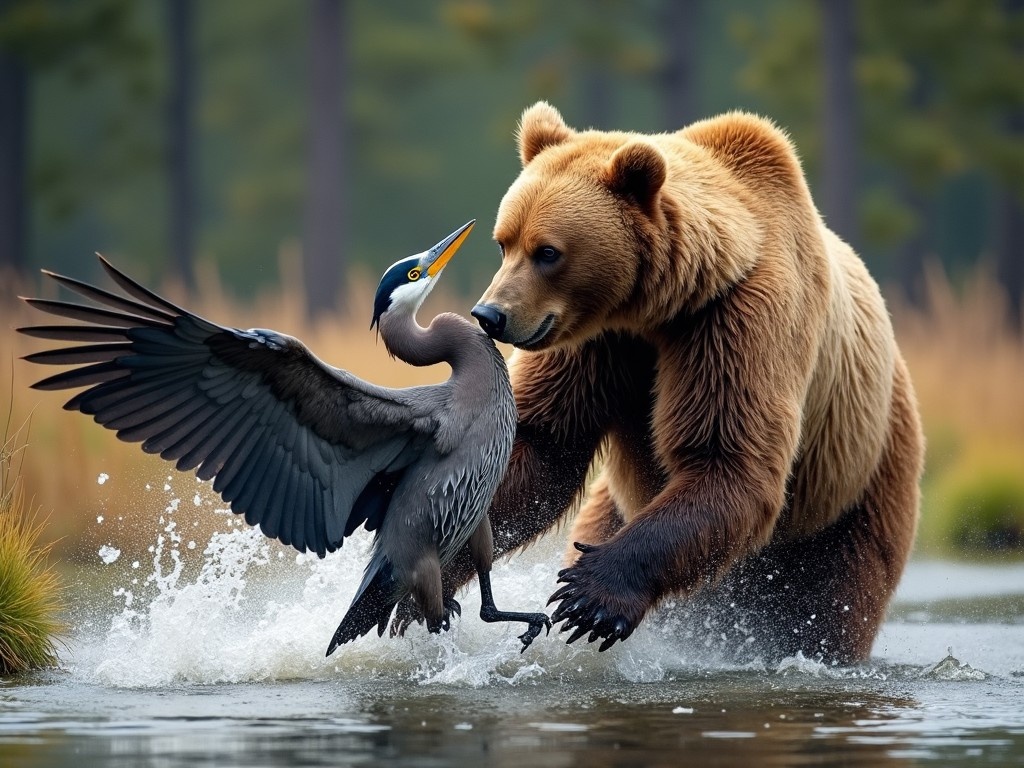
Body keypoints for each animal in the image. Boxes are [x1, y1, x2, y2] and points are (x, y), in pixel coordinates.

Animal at [456, 102, 929, 663]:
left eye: (547, 251)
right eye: (503, 242)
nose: (490, 315)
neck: (655, 309)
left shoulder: (736, 320)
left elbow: (726, 459)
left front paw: (591, 596)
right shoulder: (597, 343)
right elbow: (542, 442)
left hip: (857, 479)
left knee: (838, 599)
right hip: (620, 500)